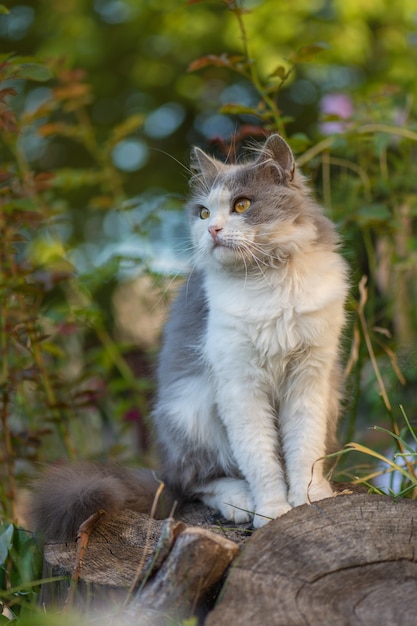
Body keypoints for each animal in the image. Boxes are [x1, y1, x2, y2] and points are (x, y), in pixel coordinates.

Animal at [28, 134, 348, 540]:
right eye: (203, 213)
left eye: (242, 205)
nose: (213, 231)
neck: (268, 280)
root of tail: (163, 469)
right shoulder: (240, 384)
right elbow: (260, 458)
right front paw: (272, 510)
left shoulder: (310, 376)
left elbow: (304, 447)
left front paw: (308, 498)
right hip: (190, 411)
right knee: (195, 483)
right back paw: (240, 501)